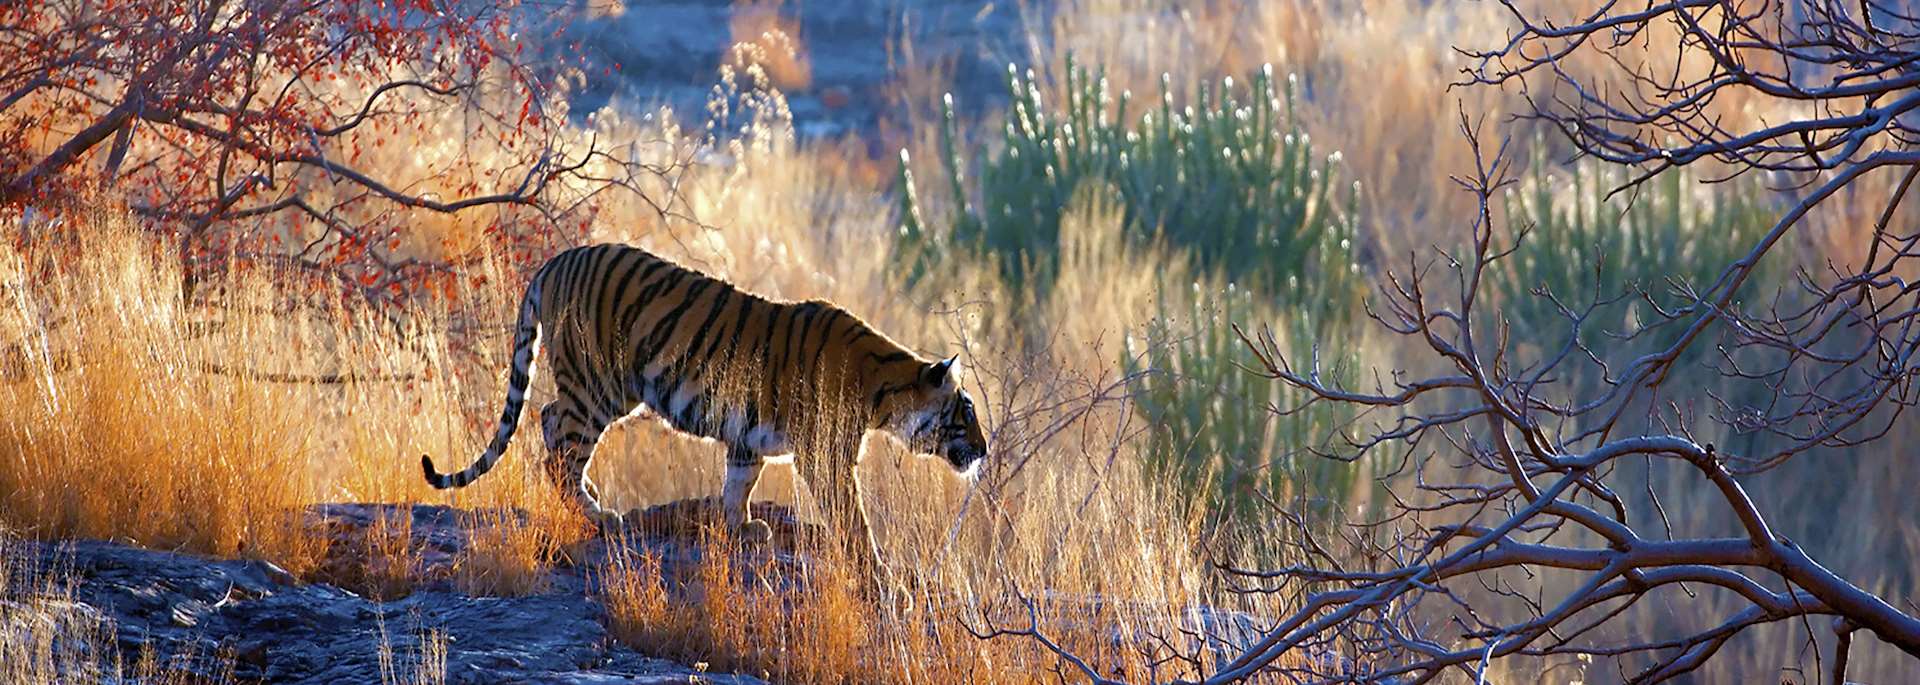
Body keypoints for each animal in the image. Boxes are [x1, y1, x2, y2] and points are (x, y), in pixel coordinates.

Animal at [421, 242, 988, 586]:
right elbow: (854, 519)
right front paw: (882, 575)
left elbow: (738, 485)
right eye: (965, 413)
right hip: (598, 384)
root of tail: (557, 260)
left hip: (600, 388)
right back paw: (596, 513)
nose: (984, 451)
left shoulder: (748, 440)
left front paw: (742, 529)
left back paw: (591, 494)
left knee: (547, 419)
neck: (885, 393)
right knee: (559, 446)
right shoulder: (827, 458)